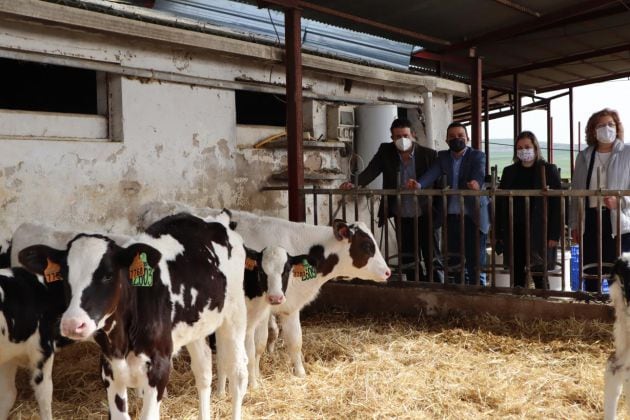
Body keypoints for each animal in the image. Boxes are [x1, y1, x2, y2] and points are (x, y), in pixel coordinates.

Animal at [22, 213, 249, 420]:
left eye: (108, 275)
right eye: (64, 276)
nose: (72, 323)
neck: (122, 342)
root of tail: (216, 219)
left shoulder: (159, 367)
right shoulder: (109, 369)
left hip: (235, 314)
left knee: (238, 372)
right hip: (195, 326)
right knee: (203, 370)